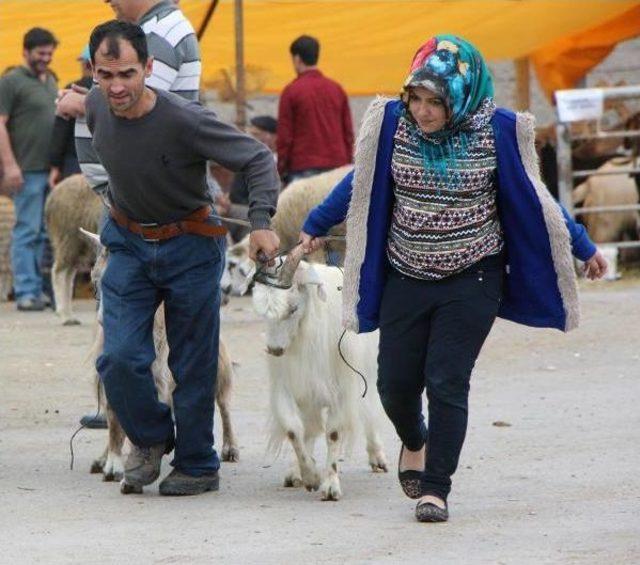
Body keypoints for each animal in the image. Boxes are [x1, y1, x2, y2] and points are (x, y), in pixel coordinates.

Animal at [44, 175, 104, 326]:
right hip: (67, 238)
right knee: (58, 272)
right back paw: (64, 315)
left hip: (79, 246)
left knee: (68, 274)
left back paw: (69, 315)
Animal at [80, 229, 239, 490]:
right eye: (95, 282)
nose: (104, 319)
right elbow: (117, 413)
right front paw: (113, 462)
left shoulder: (159, 374)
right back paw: (102, 459)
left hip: (217, 355)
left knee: (223, 401)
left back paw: (230, 448)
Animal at [252, 245, 388, 500]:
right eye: (263, 314)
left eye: (293, 308)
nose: (274, 350)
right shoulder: (288, 387)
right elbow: (293, 430)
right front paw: (310, 476)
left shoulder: (341, 390)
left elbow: (332, 433)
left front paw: (330, 487)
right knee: (308, 428)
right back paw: (295, 472)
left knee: (369, 412)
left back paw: (378, 457)